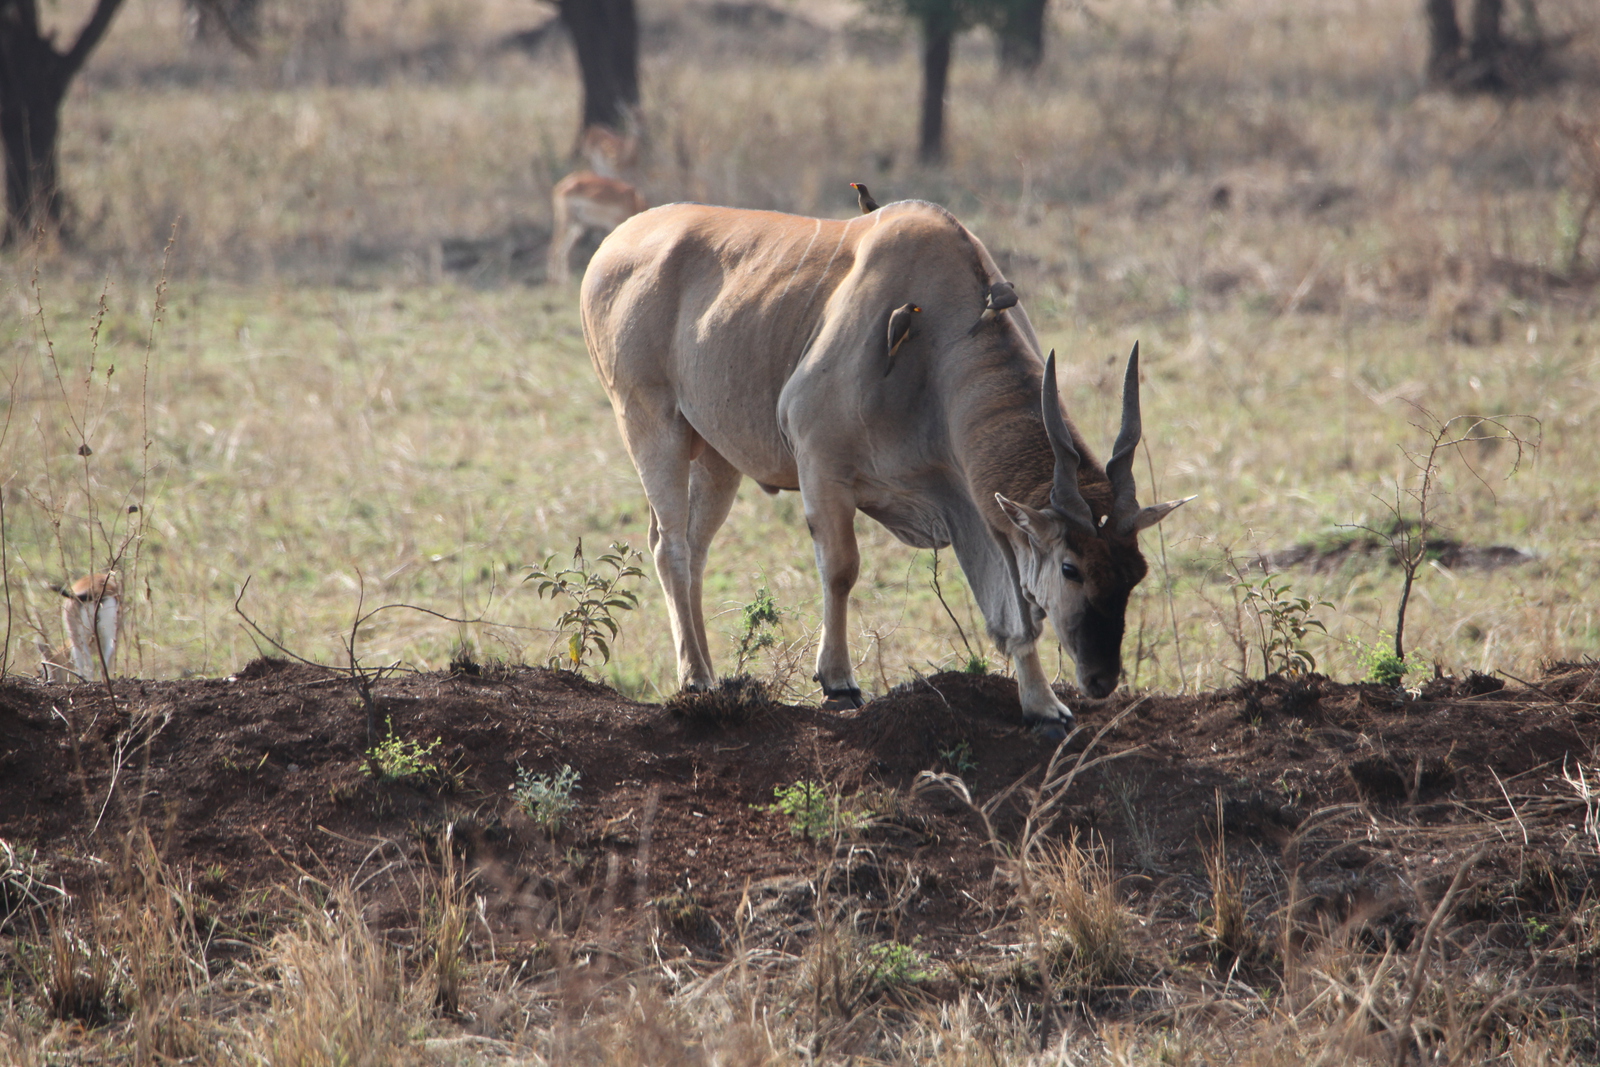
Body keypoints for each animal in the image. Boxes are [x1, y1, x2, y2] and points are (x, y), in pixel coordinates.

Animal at [550, 126, 649, 287]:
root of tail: (560, 186)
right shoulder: (614, 225)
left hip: (578, 226)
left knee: (564, 249)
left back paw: (565, 281)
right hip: (566, 221)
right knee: (555, 247)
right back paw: (556, 281)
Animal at [585, 199, 1190, 735]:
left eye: (1135, 573)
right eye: (1071, 569)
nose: (1102, 679)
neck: (942, 341)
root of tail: (610, 247)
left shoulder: (970, 501)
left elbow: (1014, 611)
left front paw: (1043, 708)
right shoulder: (821, 465)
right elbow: (840, 570)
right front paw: (839, 683)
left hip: (715, 457)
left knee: (694, 548)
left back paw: (707, 675)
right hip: (651, 425)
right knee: (670, 546)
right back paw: (695, 679)